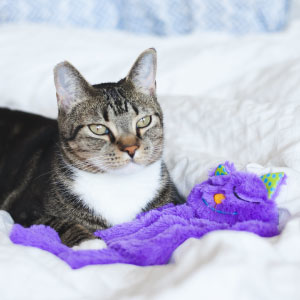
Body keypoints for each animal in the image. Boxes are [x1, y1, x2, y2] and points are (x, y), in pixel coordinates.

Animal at [0, 48, 183, 247]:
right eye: (98, 129)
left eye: (144, 121)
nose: (131, 148)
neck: (121, 186)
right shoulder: (24, 210)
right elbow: (56, 222)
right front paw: (88, 242)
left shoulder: (175, 202)